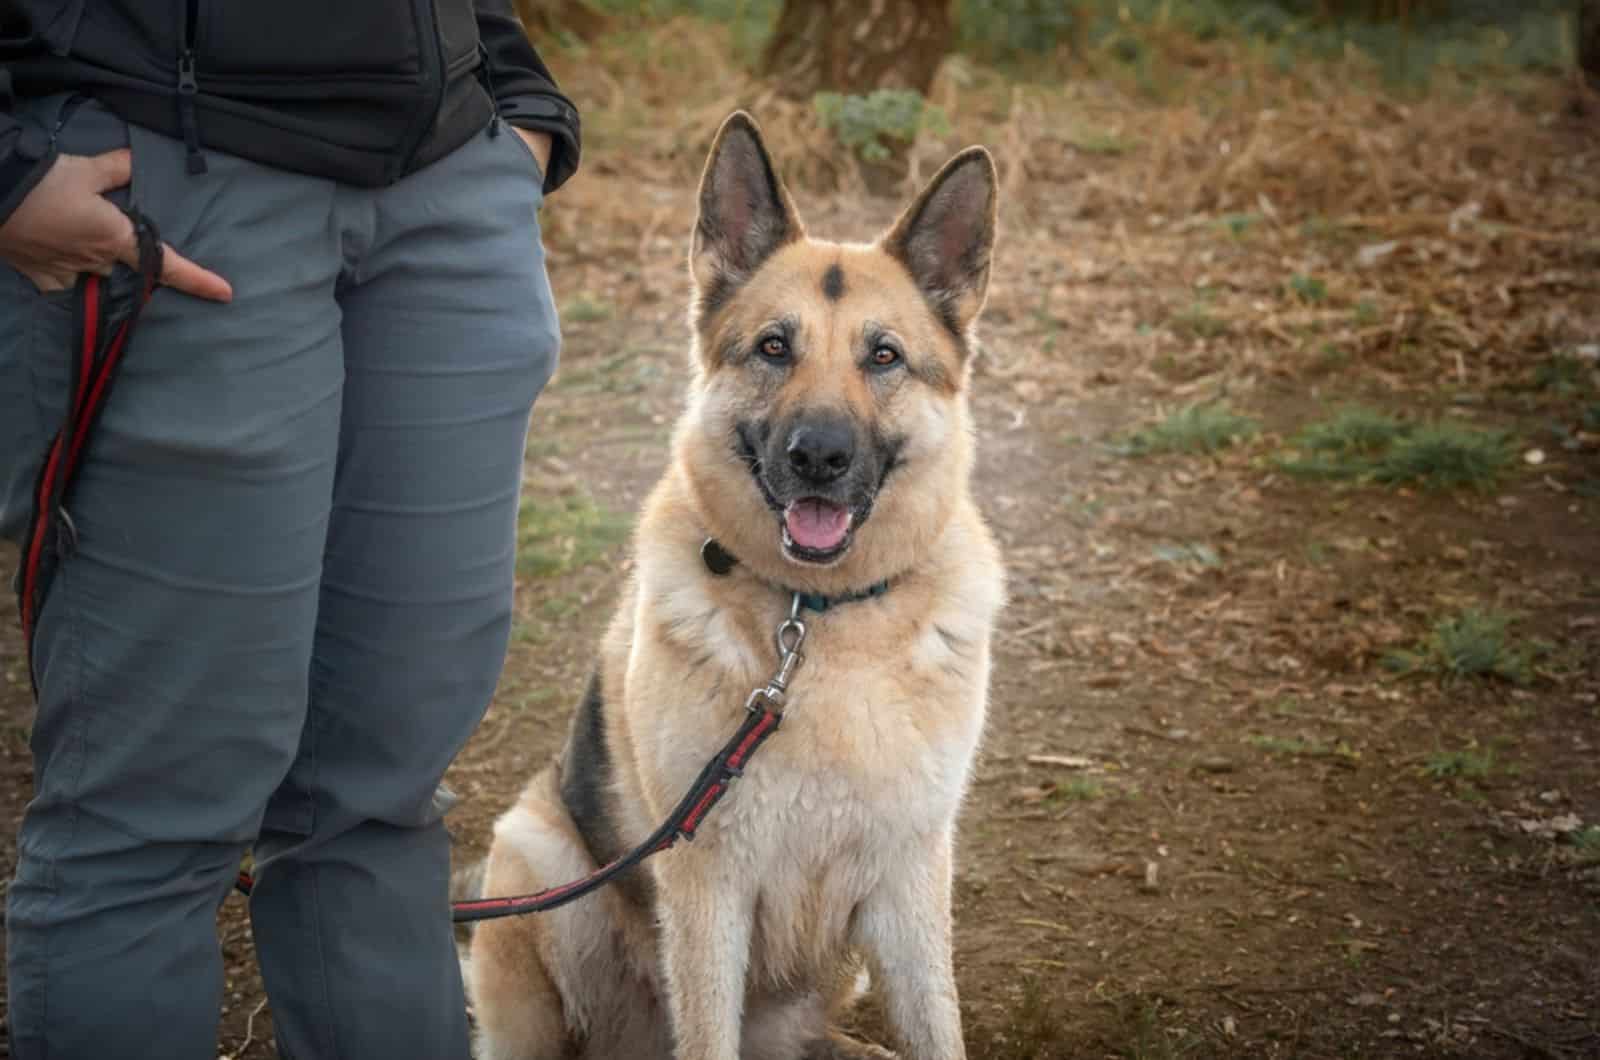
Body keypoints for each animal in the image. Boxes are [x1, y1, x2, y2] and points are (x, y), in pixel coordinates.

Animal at [467, 112, 1004, 1056]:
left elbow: (939, 1030)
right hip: (536, 860)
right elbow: (706, 1030)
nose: (819, 456)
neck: (818, 621)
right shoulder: (705, 887)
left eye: (885, 356)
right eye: (773, 348)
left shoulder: (909, 882)